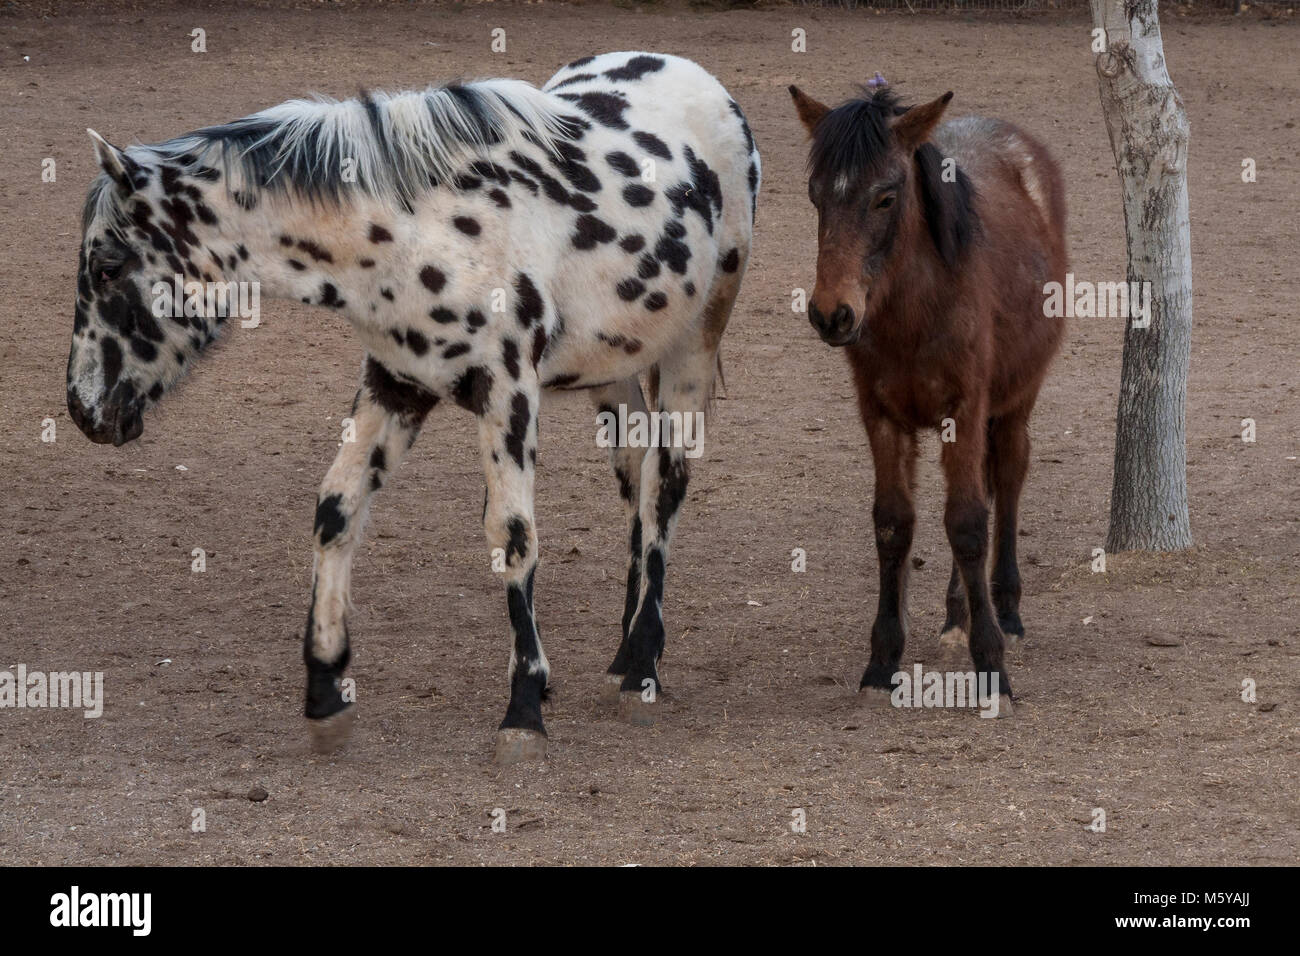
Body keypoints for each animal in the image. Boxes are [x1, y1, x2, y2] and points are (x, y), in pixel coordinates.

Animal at [66, 52, 760, 762]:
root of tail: (698, 80)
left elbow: (512, 537)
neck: (417, 232)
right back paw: (624, 651)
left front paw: (523, 705)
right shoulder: (394, 385)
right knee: (636, 480)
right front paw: (325, 690)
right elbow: (336, 511)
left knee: (665, 484)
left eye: (108, 266)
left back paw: (643, 666)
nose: (83, 409)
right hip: (613, 368)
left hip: (694, 344)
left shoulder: (507, 392)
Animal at [787, 82, 1066, 712]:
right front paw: (881, 660)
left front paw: (993, 666)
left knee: (1008, 478)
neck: (914, 311)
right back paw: (958, 613)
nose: (831, 313)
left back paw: (1007, 611)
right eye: (815, 196)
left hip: (1015, 398)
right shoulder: (881, 416)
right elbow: (893, 525)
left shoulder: (966, 409)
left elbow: (967, 524)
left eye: (886, 198)